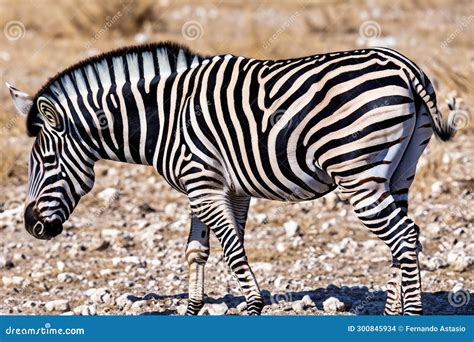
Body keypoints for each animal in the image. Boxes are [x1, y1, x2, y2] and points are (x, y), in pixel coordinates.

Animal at [6, 42, 460, 316]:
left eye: (47, 161)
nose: (31, 225)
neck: (164, 118)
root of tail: (402, 63)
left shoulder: (203, 184)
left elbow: (232, 249)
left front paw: (253, 306)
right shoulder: (218, 187)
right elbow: (199, 250)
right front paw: (193, 310)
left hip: (359, 177)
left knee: (403, 237)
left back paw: (409, 316)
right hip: (398, 175)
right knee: (403, 238)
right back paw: (391, 312)